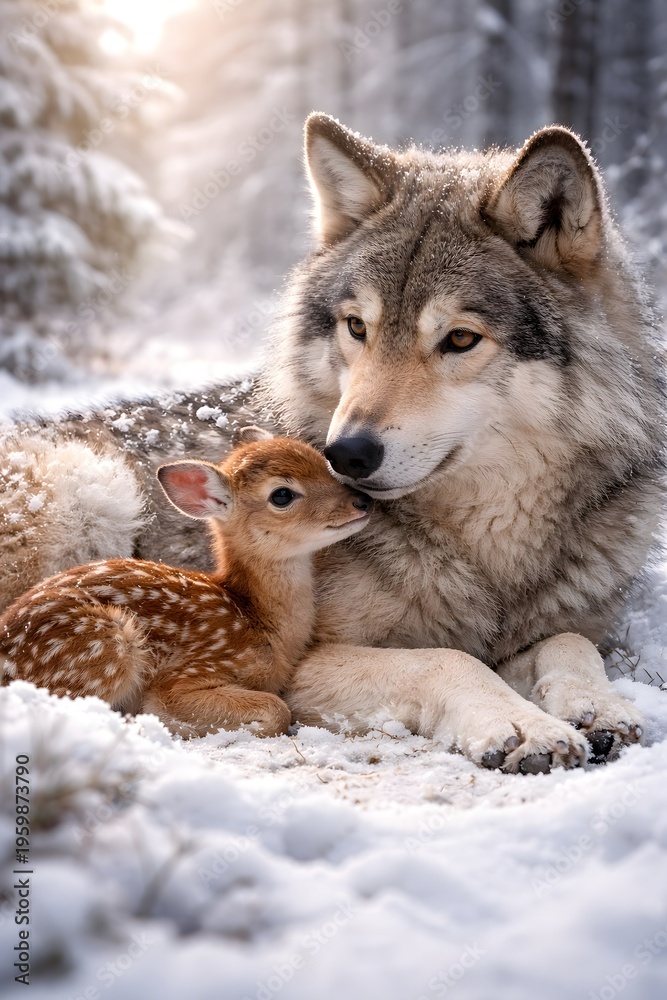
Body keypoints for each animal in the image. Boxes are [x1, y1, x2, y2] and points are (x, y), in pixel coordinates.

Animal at [0, 431, 372, 737]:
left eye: (324, 464)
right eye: (282, 495)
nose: (362, 501)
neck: (260, 622)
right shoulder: (191, 672)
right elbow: (277, 709)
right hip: (104, 645)